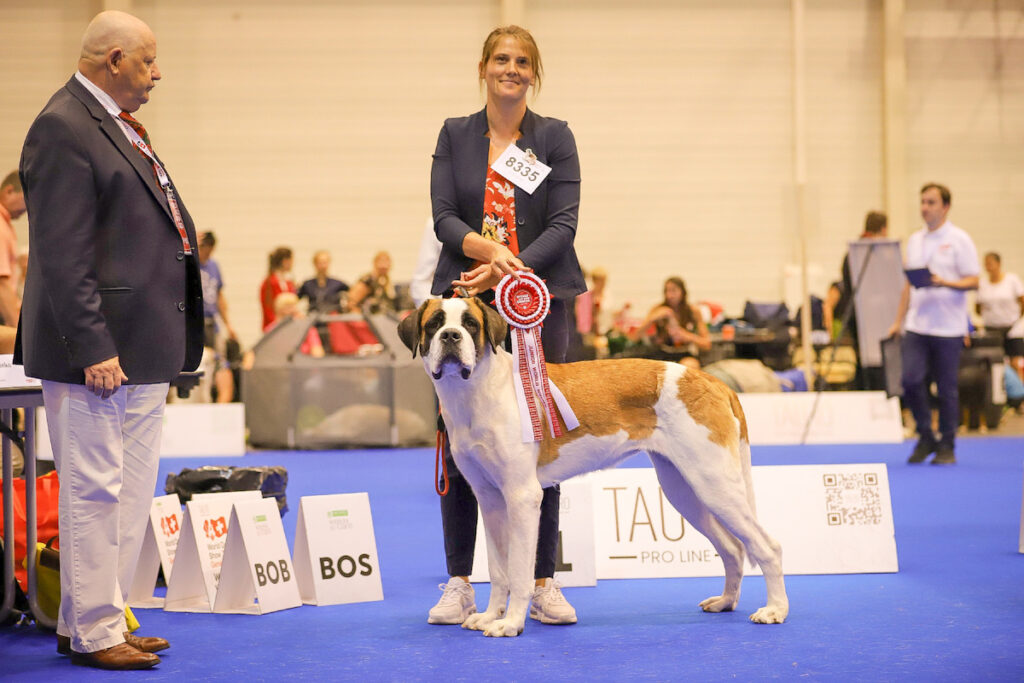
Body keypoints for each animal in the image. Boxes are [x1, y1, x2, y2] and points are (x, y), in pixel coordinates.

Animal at [395, 296, 786, 638]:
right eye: (434, 324)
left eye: (470, 324)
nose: (450, 336)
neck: (477, 392)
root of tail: (714, 381)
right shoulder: (490, 501)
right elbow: (498, 569)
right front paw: (491, 616)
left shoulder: (522, 497)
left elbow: (519, 571)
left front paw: (511, 623)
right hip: (684, 489)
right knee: (733, 548)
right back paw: (726, 602)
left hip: (713, 482)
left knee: (766, 546)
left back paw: (774, 610)